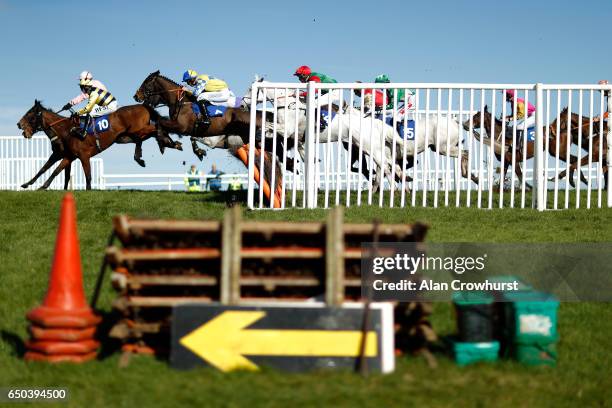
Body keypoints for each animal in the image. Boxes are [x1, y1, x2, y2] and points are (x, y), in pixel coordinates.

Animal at [16, 102, 179, 191]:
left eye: (30, 114)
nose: (18, 124)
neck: (66, 130)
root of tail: (142, 105)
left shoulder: (82, 156)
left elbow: (86, 175)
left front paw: (88, 191)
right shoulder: (68, 156)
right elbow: (51, 170)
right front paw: (32, 185)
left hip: (136, 130)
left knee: (156, 127)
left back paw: (162, 144)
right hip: (127, 136)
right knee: (149, 134)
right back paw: (162, 145)